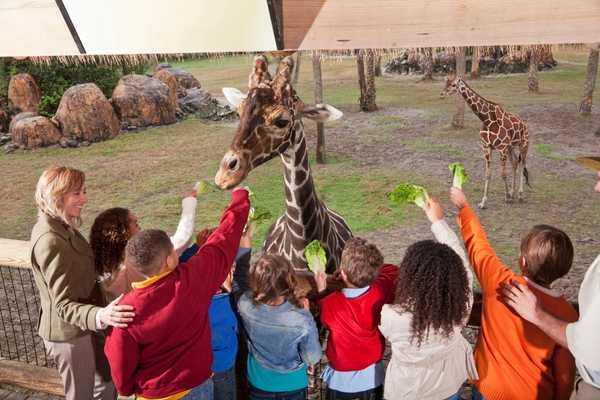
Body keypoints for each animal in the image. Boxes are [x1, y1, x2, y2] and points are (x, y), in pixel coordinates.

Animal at [440, 74, 528, 209]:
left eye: (453, 85)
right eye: (445, 83)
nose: (442, 93)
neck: (486, 119)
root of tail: (524, 124)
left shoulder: (501, 148)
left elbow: (503, 174)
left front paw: (507, 197)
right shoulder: (487, 147)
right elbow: (488, 174)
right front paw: (483, 202)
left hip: (523, 145)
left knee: (522, 163)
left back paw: (520, 195)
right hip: (511, 147)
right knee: (514, 163)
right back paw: (513, 193)